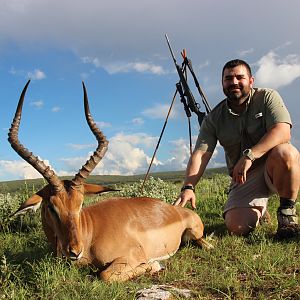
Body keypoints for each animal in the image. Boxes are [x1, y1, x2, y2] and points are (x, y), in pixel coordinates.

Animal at [9, 81, 211, 282]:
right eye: (51, 207)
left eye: (80, 204)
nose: (74, 251)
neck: (89, 234)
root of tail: (179, 211)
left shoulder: (130, 256)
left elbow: (104, 275)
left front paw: (154, 265)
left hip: (194, 233)